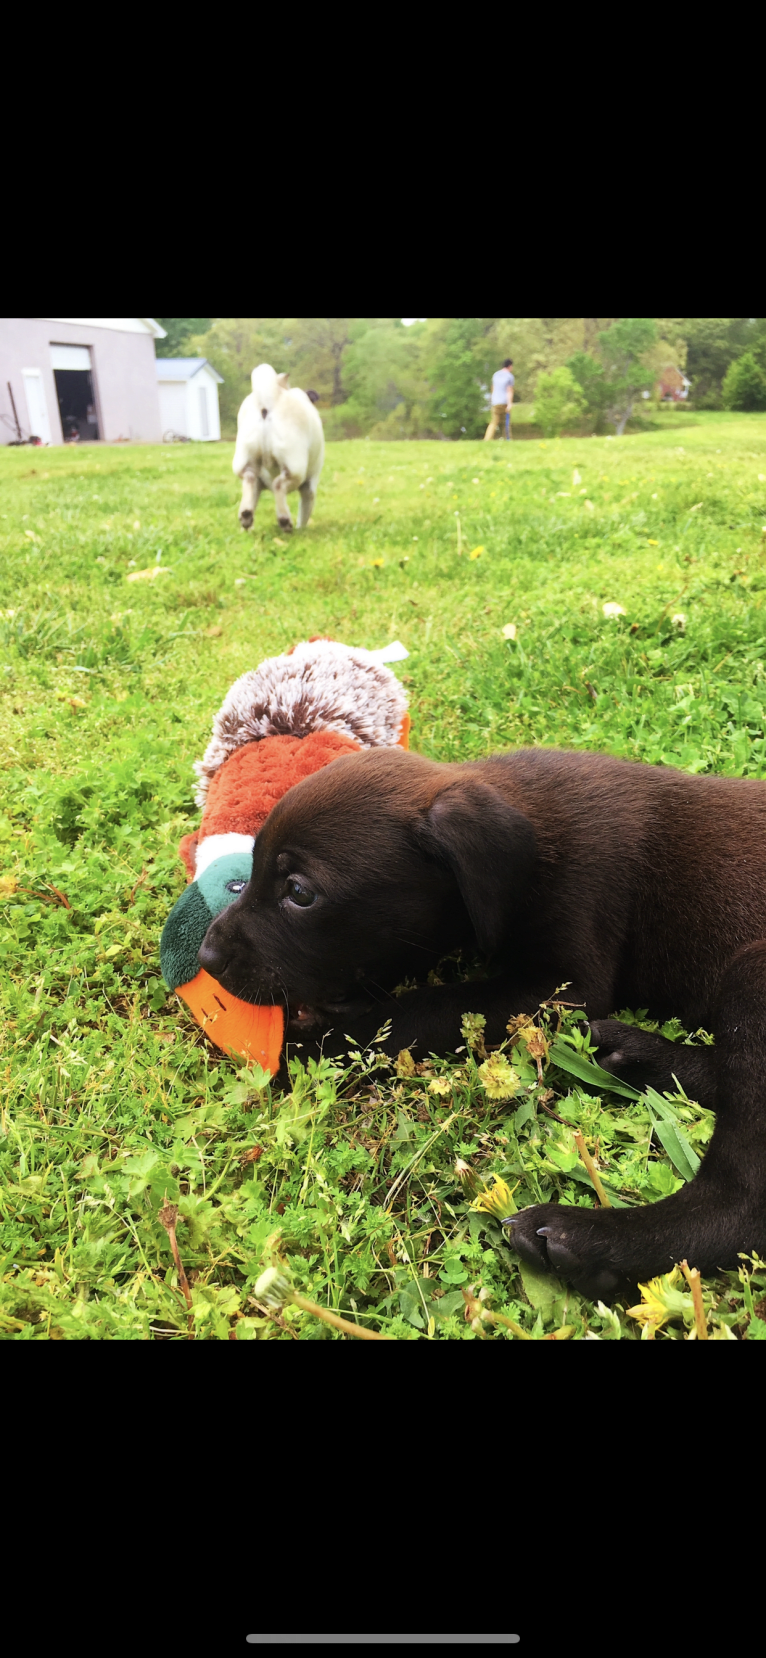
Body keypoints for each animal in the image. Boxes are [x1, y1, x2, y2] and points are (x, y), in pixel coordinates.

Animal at [228, 363, 321, 530]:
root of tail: (268, 401)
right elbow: (305, 510)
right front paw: (301, 529)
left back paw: (246, 515)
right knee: (278, 484)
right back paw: (284, 520)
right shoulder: (310, 484)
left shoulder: (257, 484)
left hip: (247, 461)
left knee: (249, 479)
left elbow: (253, 498)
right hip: (294, 468)